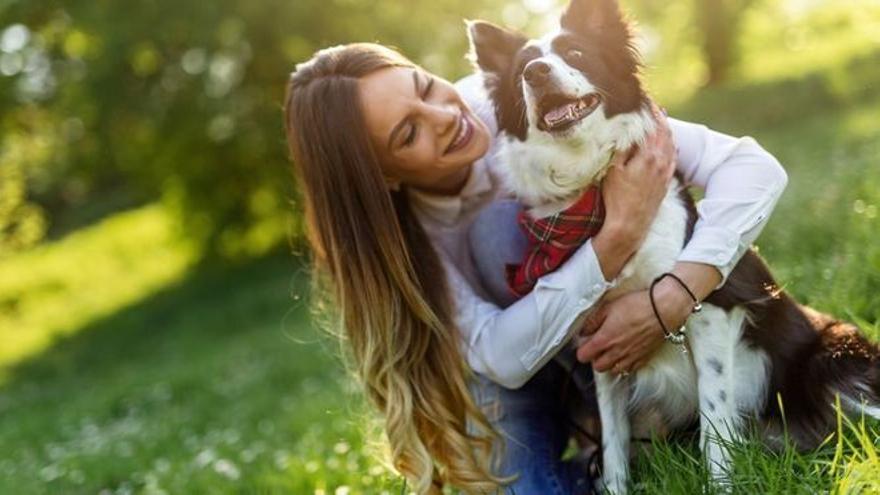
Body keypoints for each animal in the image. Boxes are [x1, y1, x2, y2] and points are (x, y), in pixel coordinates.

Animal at [470, 0, 880, 490]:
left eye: (575, 53)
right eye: (520, 71)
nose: (535, 72)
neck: (594, 192)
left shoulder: (711, 316)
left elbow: (715, 426)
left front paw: (721, 487)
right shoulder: (599, 343)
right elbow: (612, 441)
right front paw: (615, 488)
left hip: (833, 360)